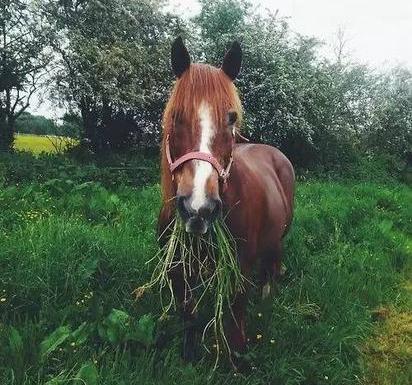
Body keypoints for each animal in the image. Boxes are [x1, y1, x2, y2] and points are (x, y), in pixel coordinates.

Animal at [156, 37, 294, 362]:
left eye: (231, 118)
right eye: (176, 116)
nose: (199, 208)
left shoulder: (239, 265)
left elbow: (236, 311)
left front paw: (238, 358)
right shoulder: (179, 271)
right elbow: (188, 314)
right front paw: (189, 353)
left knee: (272, 263)